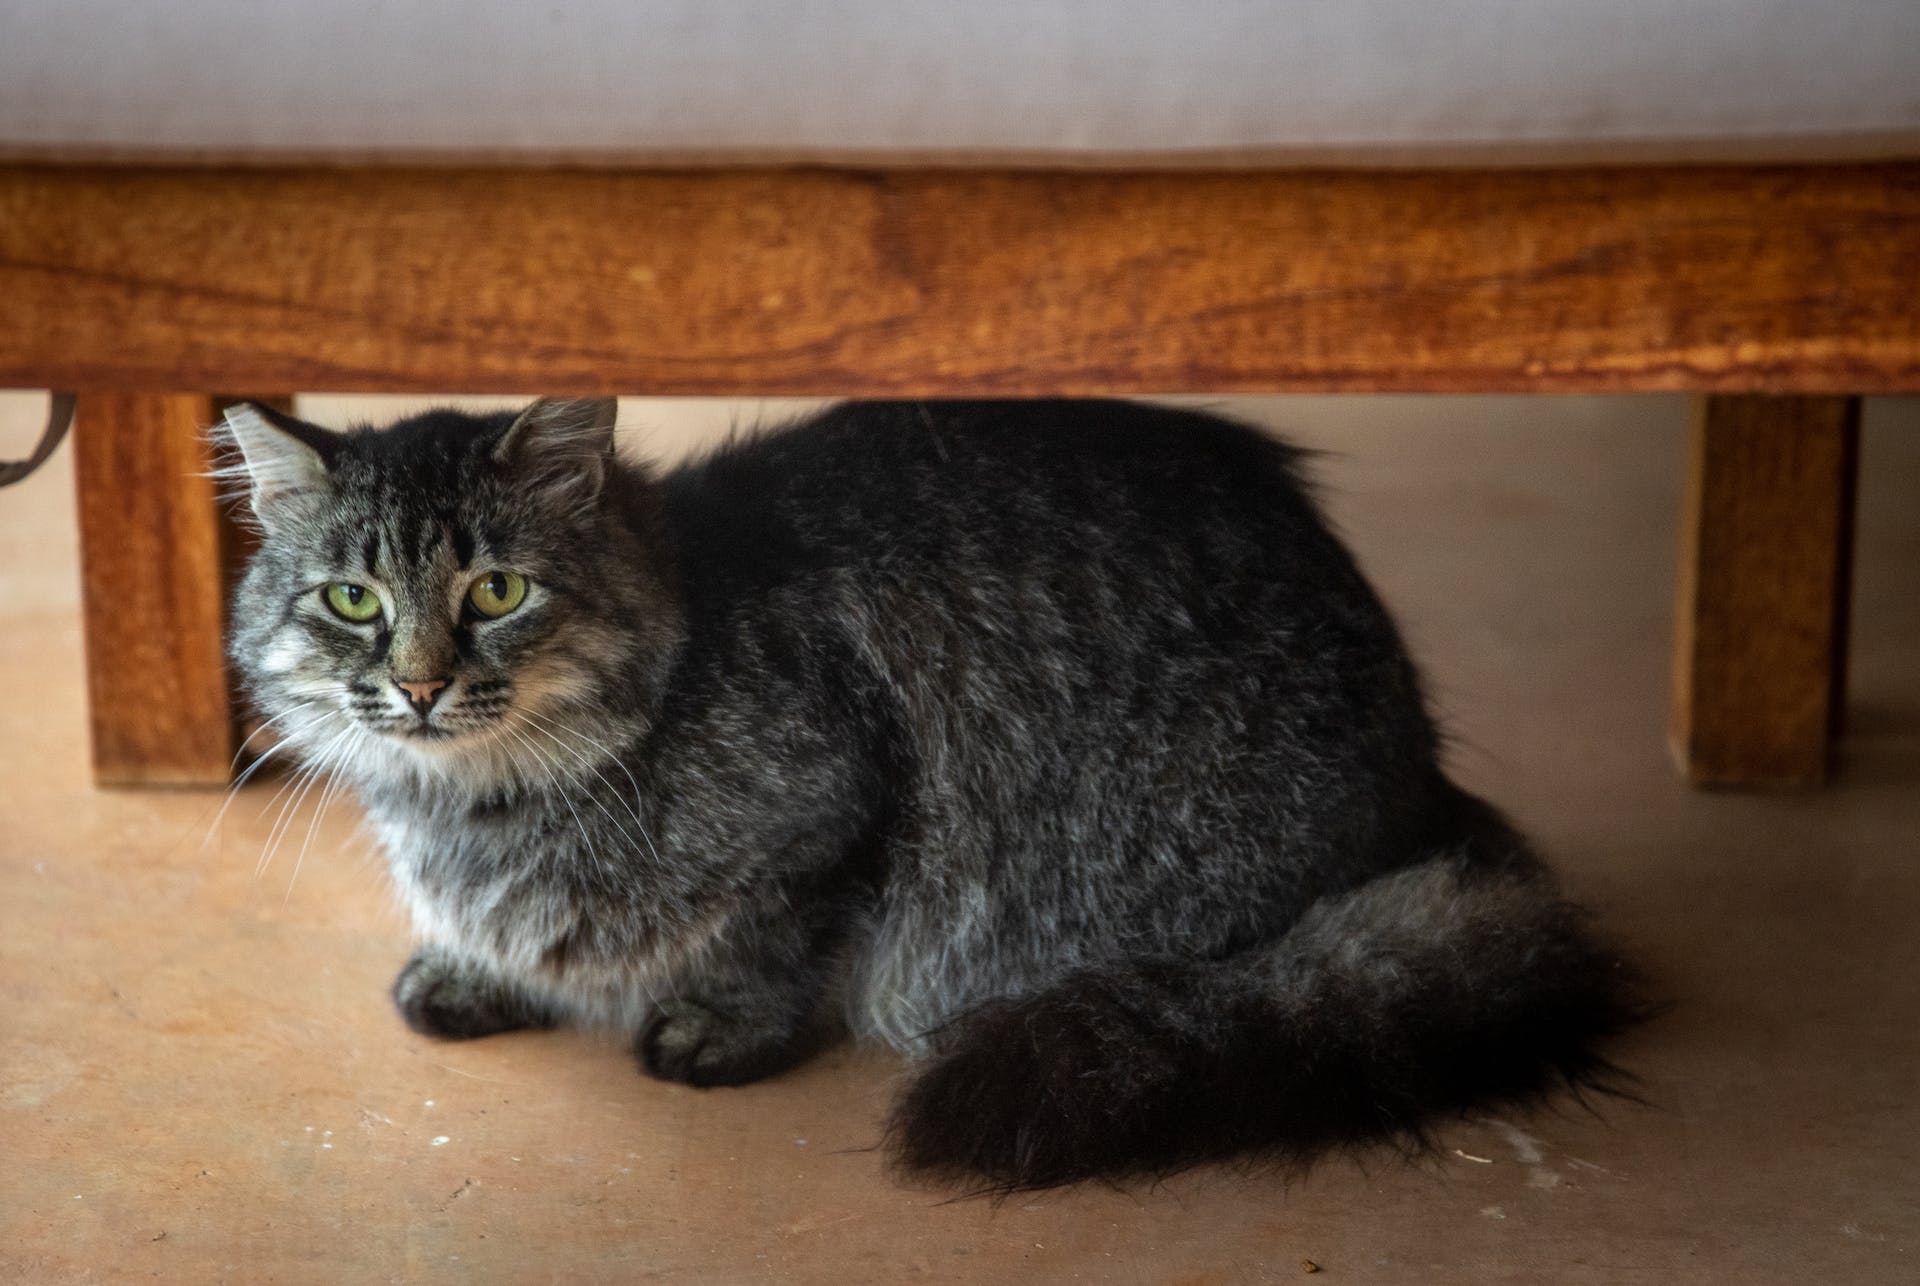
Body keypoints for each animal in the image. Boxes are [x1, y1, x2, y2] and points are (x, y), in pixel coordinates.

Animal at [217, 397, 1643, 1197]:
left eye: (497, 591)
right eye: (355, 599)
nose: (416, 685)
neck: (469, 804)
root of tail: (1433, 786)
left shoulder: (831, 819)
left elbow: (768, 947)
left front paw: (714, 1028)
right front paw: (475, 968)